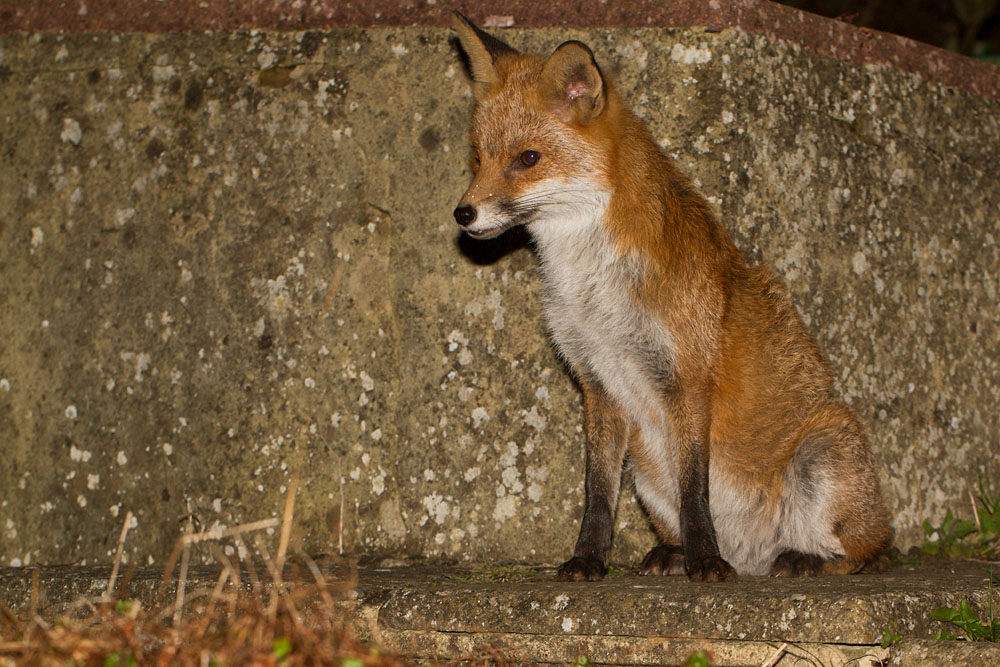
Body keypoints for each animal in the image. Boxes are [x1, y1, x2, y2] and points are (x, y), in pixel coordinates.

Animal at [450, 13, 891, 581]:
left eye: (528, 159)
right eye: (477, 158)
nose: (463, 214)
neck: (592, 287)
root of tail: (753, 559)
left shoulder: (689, 376)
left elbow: (695, 488)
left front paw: (706, 562)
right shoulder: (598, 384)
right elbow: (597, 493)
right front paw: (588, 560)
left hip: (825, 450)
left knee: (865, 552)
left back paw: (800, 559)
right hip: (646, 470)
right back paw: (675, 553)